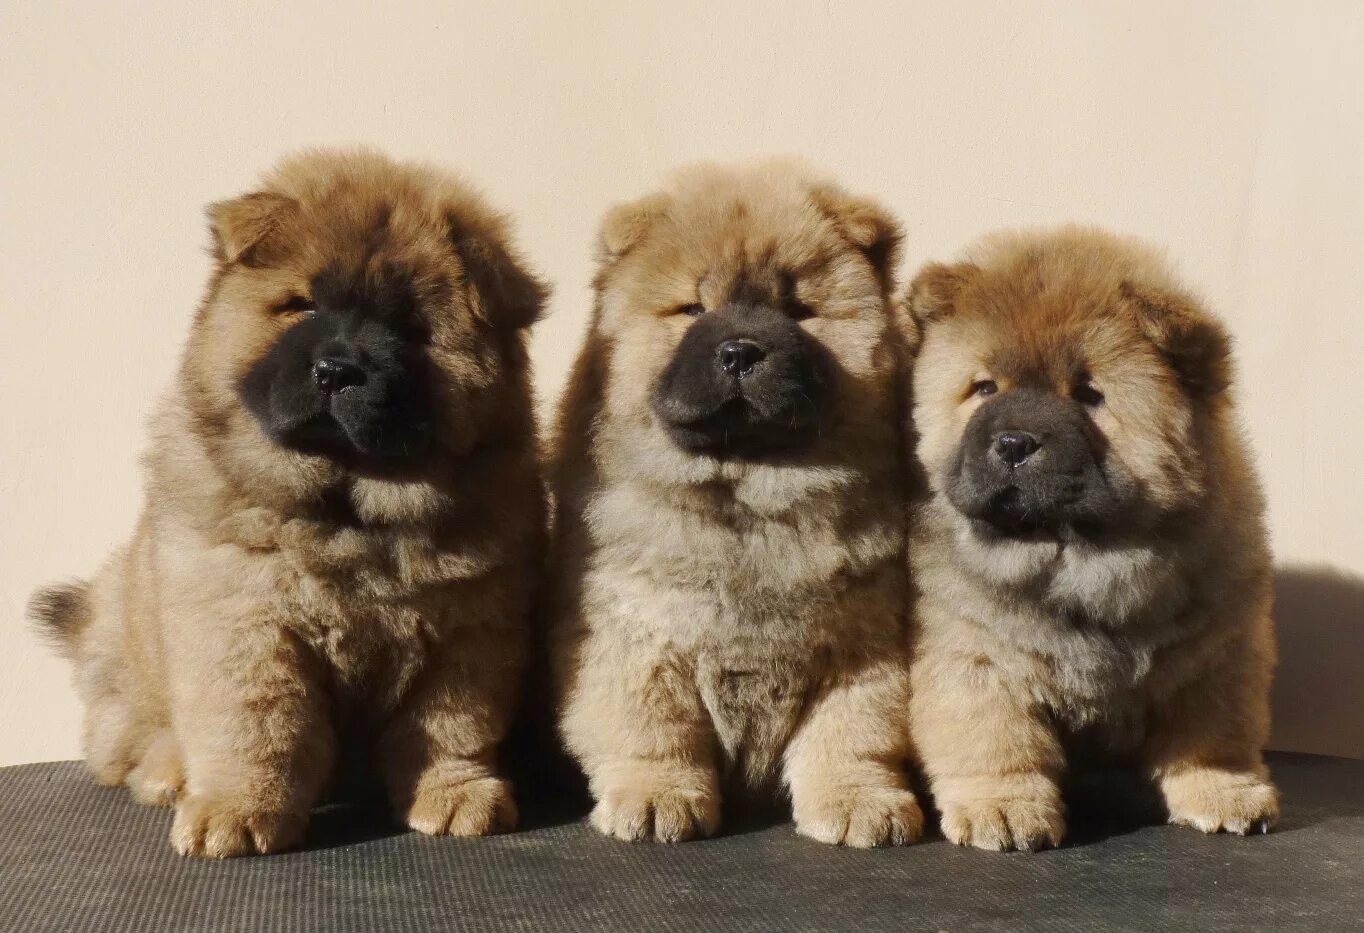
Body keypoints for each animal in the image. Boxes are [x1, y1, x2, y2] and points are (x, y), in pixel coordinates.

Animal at [27, 147, 548, 862]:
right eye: (300, 307)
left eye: (409, 331)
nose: (337, 370)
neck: (349, 514)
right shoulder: (243, 623)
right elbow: (255, 725)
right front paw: (234, 812)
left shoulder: (472, 626)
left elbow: (449, 723)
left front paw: (457, 794)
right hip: (117, 624)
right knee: (123, 736)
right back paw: (167, 772)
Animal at [548, 163, 922, 851]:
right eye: (694, 309)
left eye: (798, 313)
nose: (742, 351)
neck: (749, 504)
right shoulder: (634, 635)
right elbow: (651, 728)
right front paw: (655, 798)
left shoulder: (864, 645)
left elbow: (853, 733)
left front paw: (861, 804)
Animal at [905, 227, 1276, 851]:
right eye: (985, 388)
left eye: (1088, 394)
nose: (1012, 442)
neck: (1081, 566)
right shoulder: (977, 650)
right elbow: (993, 738)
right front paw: (1002, 809)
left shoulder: (1214, 653)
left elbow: (1215, 735)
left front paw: (1226, 794)